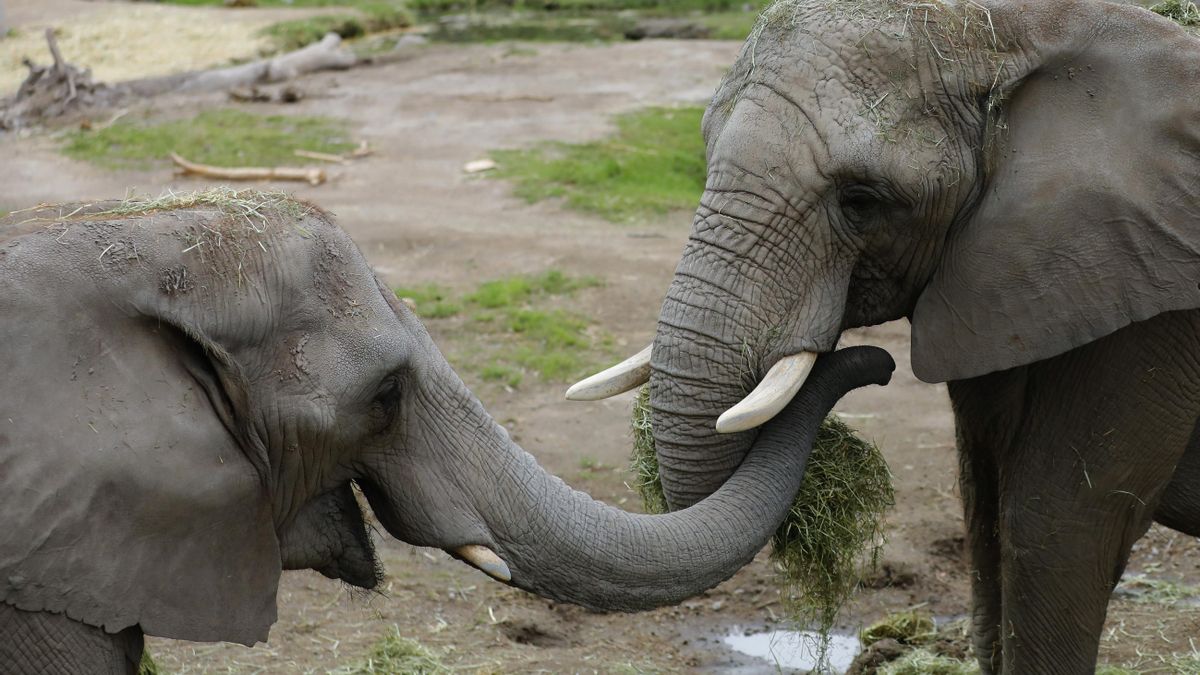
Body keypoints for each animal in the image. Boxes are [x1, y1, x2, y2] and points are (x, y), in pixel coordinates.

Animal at [566, 1, 1200, 672]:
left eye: (861, 201)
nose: (877, 364)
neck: (1036, 30)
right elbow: (984, 497)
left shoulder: (1146, 302)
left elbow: (1058, 520)